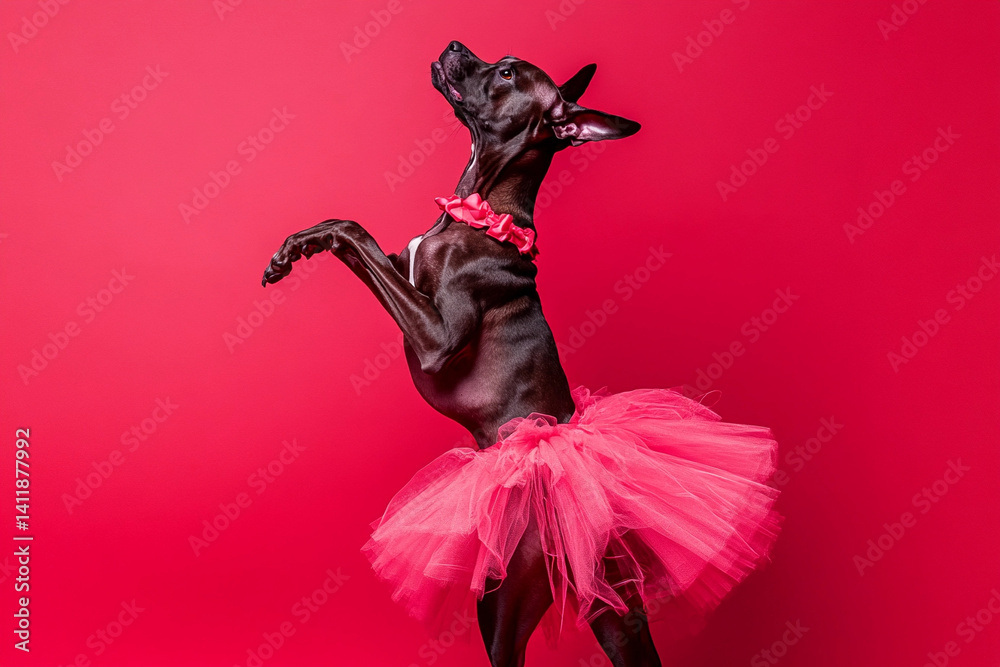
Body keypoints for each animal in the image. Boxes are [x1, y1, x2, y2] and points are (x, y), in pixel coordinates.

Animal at [262, 41, 663, 665]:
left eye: (506, 73)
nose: (454, 46)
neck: (480, 209)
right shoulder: (401, 270)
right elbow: (350, 233)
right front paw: (293, 249)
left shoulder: (434, 338)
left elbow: (355, 233)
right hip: (574, 605)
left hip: (509, 594)